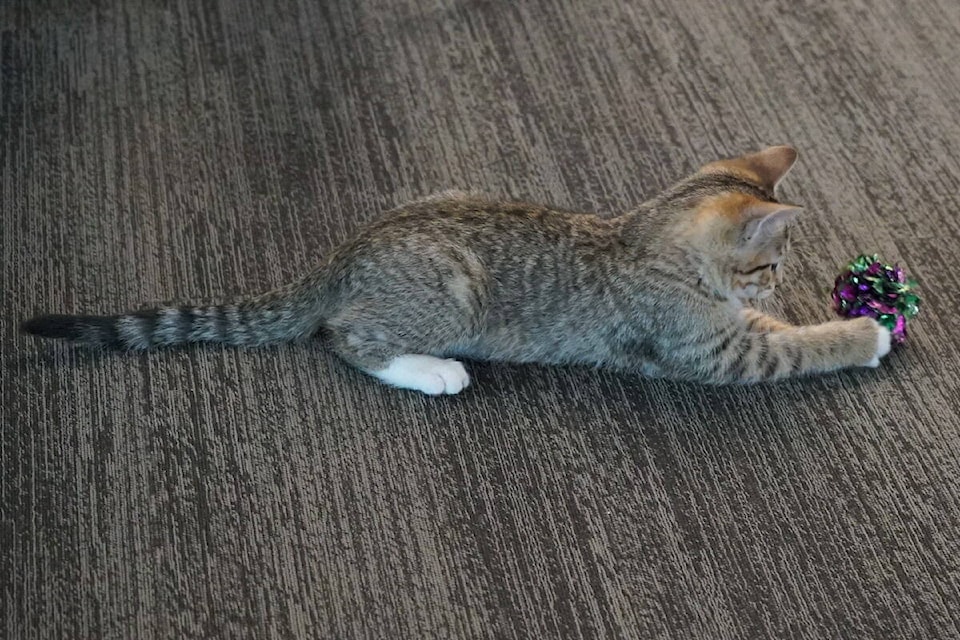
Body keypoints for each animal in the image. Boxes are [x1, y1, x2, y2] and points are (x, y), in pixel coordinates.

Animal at [22, 147, 892, 392]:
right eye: (770, 261)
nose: (774, 281)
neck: (646, 236)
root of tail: (344, 254)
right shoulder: (710, 350)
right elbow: (791, 347)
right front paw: (863, 332)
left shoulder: (725, 327)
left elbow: (768, 328)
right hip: (448, 298)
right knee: (346, 337)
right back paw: (430, 371)